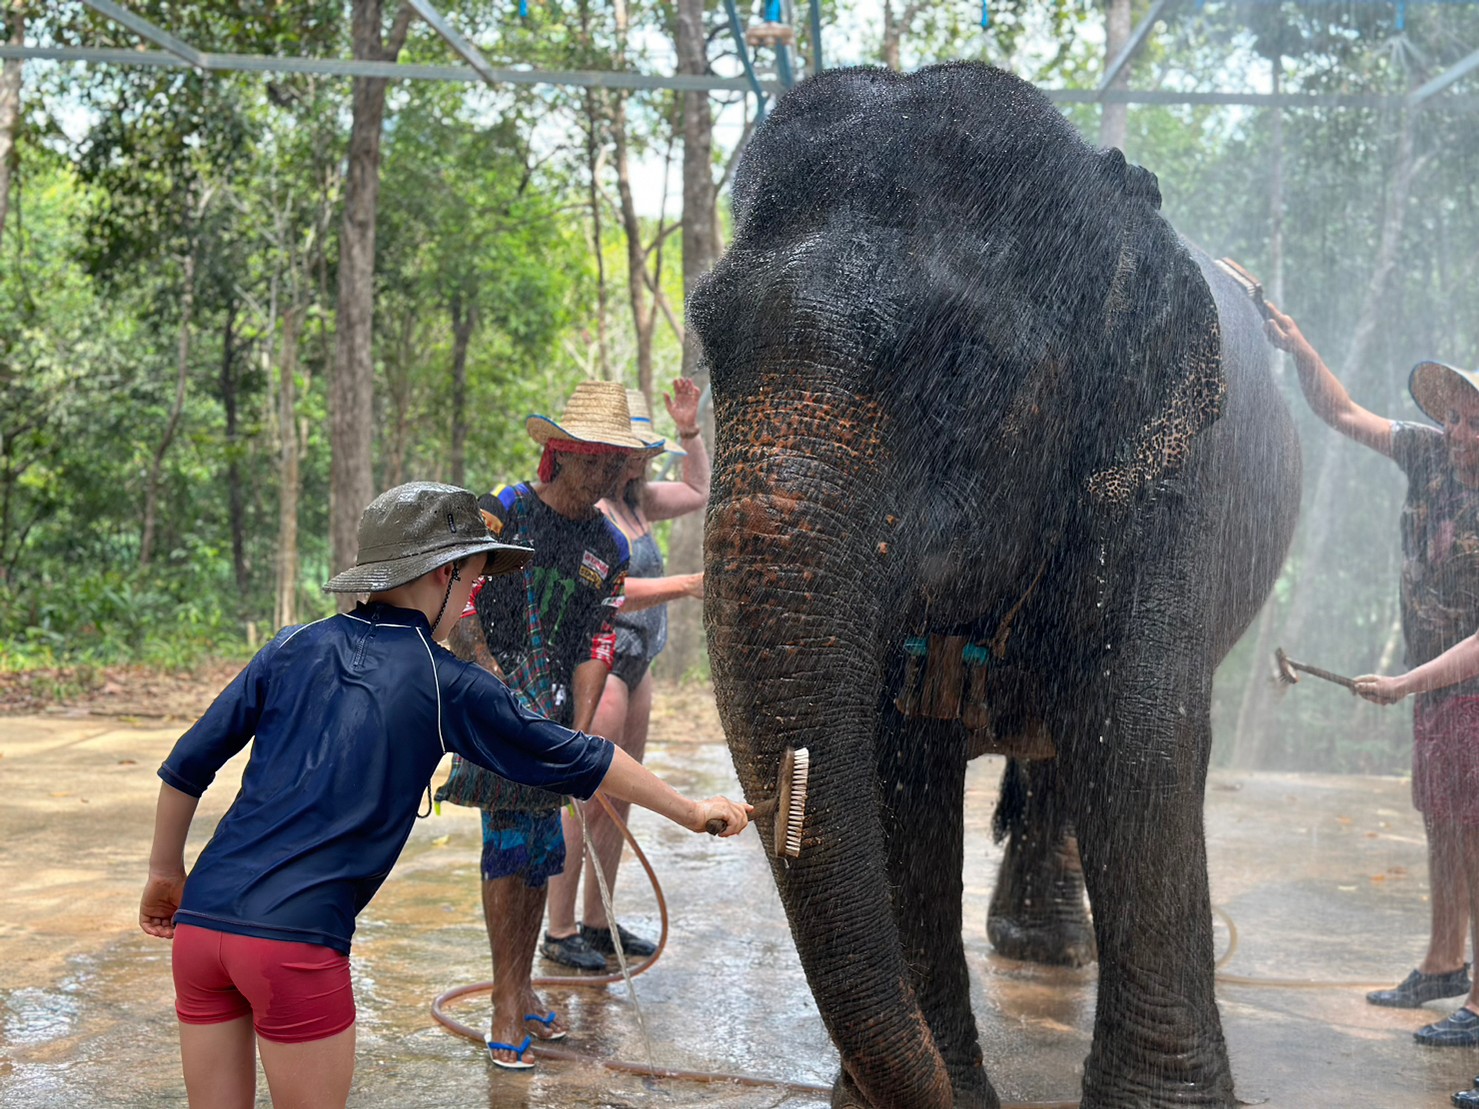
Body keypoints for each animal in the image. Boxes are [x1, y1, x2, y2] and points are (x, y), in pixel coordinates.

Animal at [692, 65, 1295, 1109]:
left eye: (965, 368)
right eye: (704, 343)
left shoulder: (1170, 484)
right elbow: (893, 753)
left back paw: (1049, 952)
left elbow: (1138, 728)